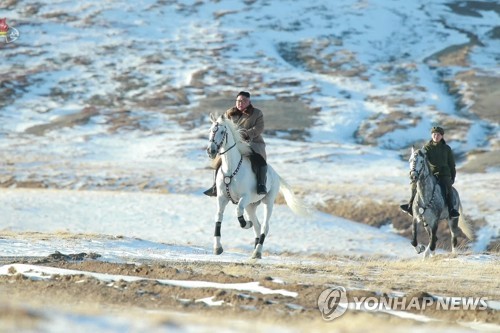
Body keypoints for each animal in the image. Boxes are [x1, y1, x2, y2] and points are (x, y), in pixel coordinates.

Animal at [204, 113, 306, 258]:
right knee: (257, 226)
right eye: (210, 130)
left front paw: (246, 224)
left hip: (267, 202)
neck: (231, 169)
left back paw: (257, 251)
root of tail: (275, 174)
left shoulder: (244, 198)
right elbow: (218, 217)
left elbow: (238, 211)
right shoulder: (222, 198)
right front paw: (217, 247)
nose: (211, 150)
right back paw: (255, 249)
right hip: (251, 206)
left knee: (264, 226)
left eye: (222, 132)